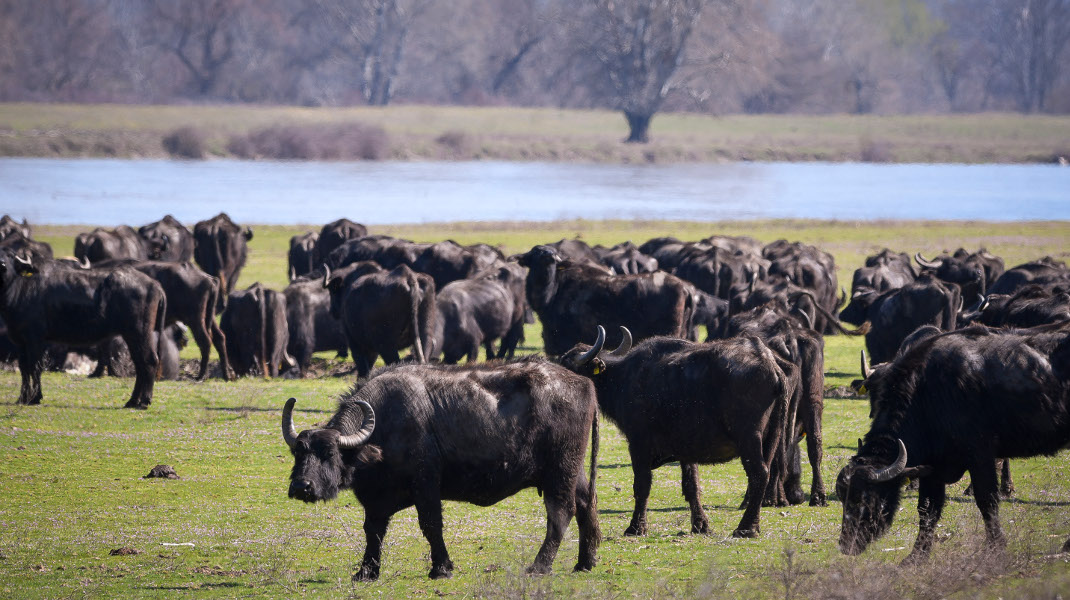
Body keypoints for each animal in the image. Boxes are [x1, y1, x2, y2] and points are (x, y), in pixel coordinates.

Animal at [0, 252, 164, 406]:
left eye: (10, 256)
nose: (2, 264)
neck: (21, 289)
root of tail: (154, 284)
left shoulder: (35, 340)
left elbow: (35, 368)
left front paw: (35, 397)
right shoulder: (20, 342)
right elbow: (24, 369)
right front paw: (22, 398)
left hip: (139, 332)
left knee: (149, 360)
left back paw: (144, 401)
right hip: (131, 335)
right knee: (140, 364)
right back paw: (132, 401)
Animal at [282, 357, 603, 577]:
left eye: (330, 453)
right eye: (298, 453)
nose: (301, 486)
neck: (384, 426)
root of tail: (585, 383)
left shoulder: (426, 483)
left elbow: (430, 525)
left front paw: (441, 567)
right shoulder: (375, 498)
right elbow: (373, 530)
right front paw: (366, 572)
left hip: (560, 470)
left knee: (560, 513)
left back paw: (539, 566)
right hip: (574, 470)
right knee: (586, 503)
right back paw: (585, 563)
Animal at [560, 327, 796, 539]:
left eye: (567, 365)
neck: (623, 378)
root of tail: (772, 366)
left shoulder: (638, 443)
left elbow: (642, 485)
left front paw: (635, 528)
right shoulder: (686, 449)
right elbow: (692, 486)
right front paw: (700, 525)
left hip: (749, 438)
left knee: (759, 474)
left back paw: (745, 528)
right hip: (772, 438)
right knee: (764, 476)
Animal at [834, 322, 1070, 560]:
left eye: (864, 499)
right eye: (843, 498)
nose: (846, 545)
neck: (928, 395)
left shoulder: (980, 455)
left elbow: (987, 500)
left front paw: (996, 546)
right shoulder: (932, 467)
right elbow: (927, 509)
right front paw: (916, 556)